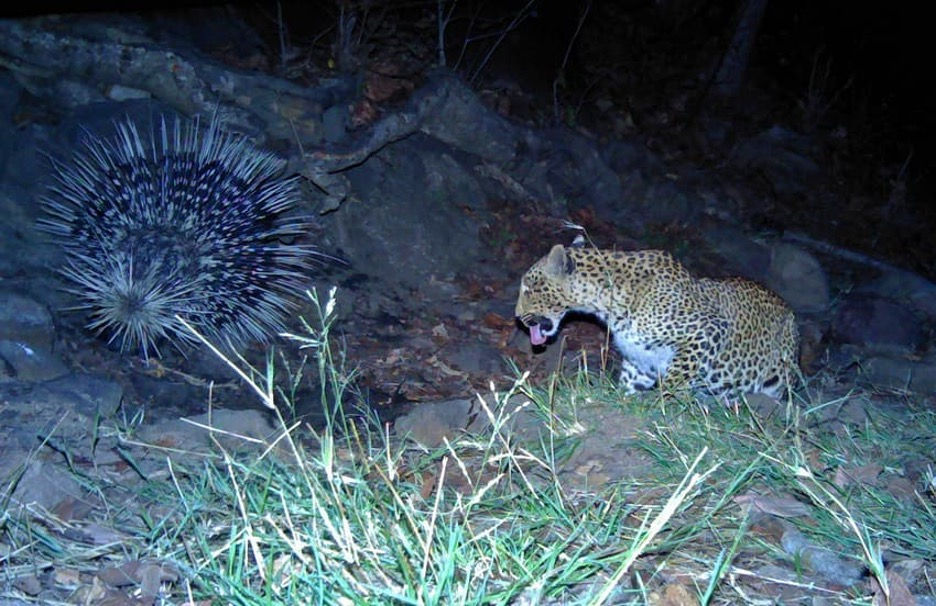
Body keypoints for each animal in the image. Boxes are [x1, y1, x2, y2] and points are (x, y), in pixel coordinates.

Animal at [515, 241, 799, 397]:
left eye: (528, 288)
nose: (517, 316)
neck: (608, 305)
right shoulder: (639, 361)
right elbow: (629, 387)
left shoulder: (708, 329)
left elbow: (678, 376)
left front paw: (665, 402)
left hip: (781, 374)